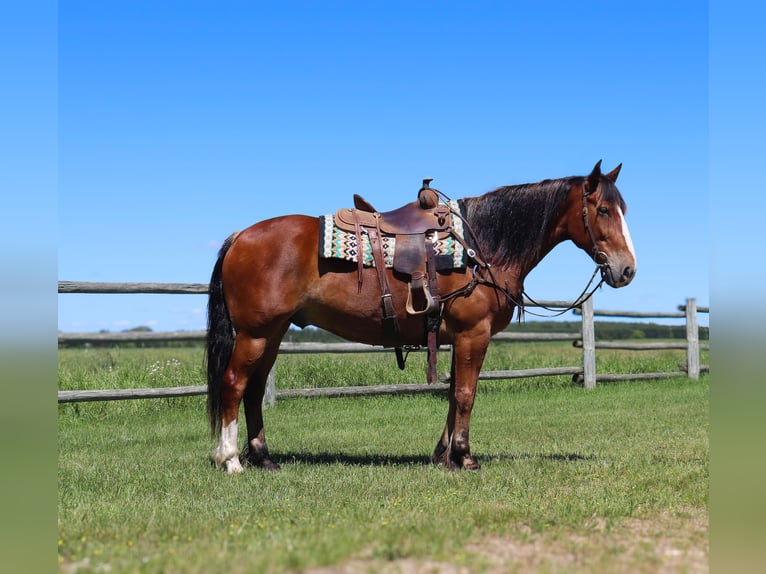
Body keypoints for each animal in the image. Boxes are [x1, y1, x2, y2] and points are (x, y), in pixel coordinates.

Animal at [206, 161, 636, 472]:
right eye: (602, 209)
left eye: (622, 209)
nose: (627, 269)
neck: (482, 246)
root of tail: (241, 236)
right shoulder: (474, 333)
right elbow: (465, 394)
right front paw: (464, 457)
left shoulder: (457, 337)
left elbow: (452, 391)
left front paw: (443, 454)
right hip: (255, 333)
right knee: (234, 383)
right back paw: (230, 460)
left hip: (273, 334)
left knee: (254, 390)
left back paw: (263, 458)